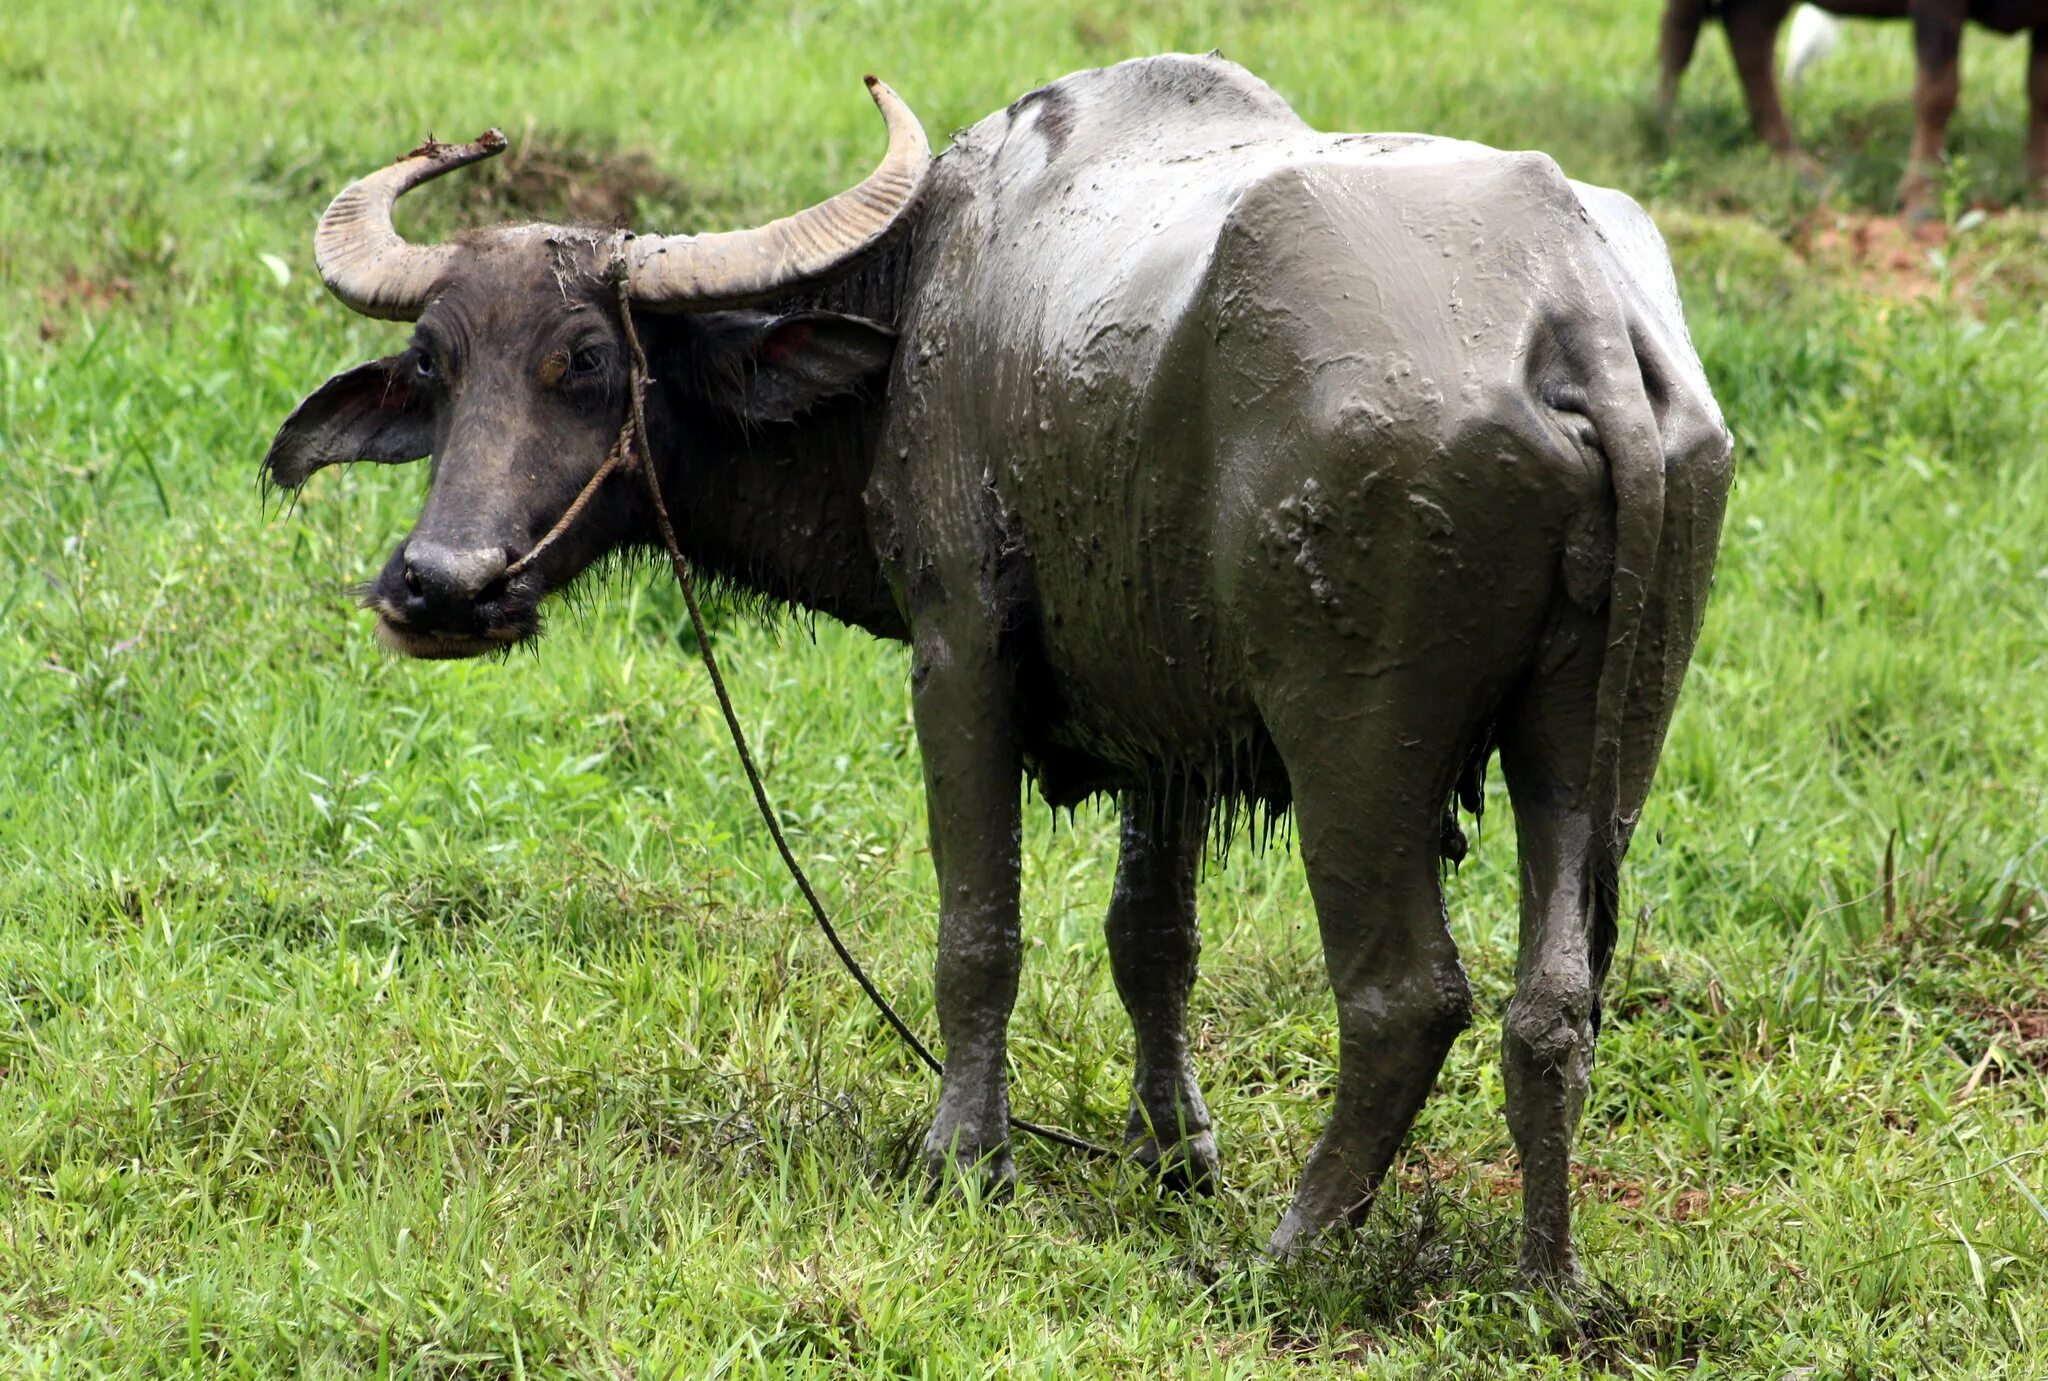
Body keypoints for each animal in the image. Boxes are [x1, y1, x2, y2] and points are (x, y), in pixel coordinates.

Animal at [260, 56, 1728, 1278]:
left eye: (585, 361)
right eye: (432, 368)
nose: (441, 586)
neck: (914, 311)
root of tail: (1573, 308)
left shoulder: (960, 650)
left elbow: (980, 931)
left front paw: (967, 1158)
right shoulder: (1166, 721)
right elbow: (1151, 939)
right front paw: (1174, 1152)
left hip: (1355, 742)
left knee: (1405, 996)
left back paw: (1289, 1254)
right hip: (1594, 745)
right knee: (1555, 1002)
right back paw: (1546, 1278)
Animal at [1654, 0, 2048, 210]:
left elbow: (2040, 93)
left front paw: (2038, 189)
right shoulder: (1936, 9)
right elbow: (1938, 92)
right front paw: (1921, 195)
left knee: (1748, 34)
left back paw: (1793, 162)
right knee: (1680, 30)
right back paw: (1667, 128)